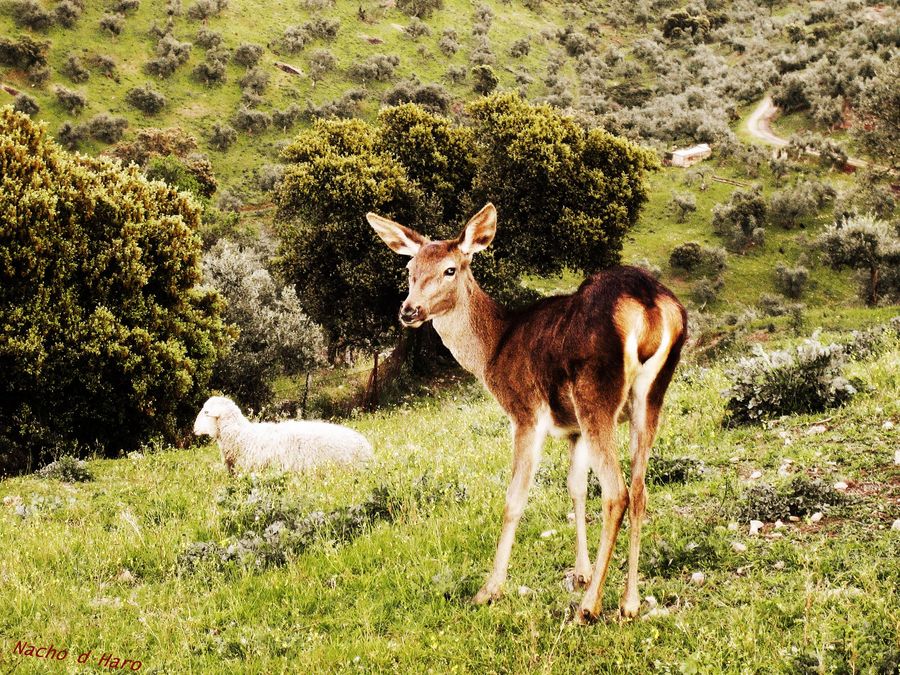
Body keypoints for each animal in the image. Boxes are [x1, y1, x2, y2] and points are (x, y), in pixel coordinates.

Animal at [366, 202, 688, 624]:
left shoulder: (525, 413)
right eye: (409, 269)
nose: (409, 310)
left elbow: (514, 498)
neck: (492, 353)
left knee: (616, 491)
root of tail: (650, 305)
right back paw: (629, 602)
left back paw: (589, 608)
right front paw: (582, 572)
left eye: (451, 269)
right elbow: (575, 487)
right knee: (638, 489)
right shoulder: (572, 429)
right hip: (650, 396)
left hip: (595, 394)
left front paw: (489, 589)